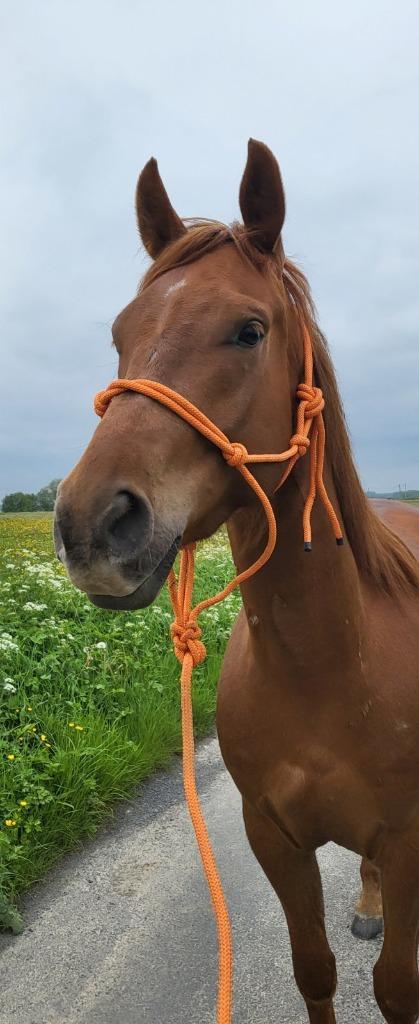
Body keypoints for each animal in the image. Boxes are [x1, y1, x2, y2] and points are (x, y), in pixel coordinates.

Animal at [53, 138, 417, 1024]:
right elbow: (313, 968)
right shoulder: (271, 838)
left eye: (248, 330)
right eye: (120, 335)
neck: (330, 670)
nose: (90, 525)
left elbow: (397, 984)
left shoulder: (410, 841)